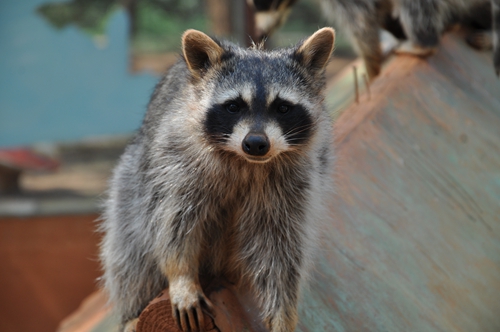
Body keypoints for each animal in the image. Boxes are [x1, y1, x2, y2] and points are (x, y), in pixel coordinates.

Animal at [99, 27, 336, 332]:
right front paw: (181, 276)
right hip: (129, 185)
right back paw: (132, 311)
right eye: (234, 106)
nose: (256, 143)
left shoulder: (295, 185)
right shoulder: (176, 163)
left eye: (282, 108)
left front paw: (283, 313)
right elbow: (172, 223)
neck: (246, 162)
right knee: (129, 250)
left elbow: (282, 250)